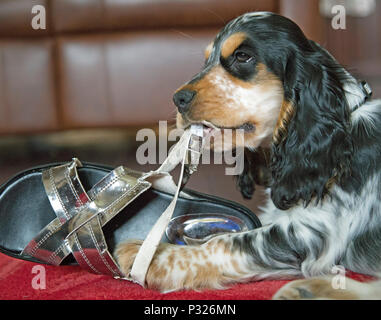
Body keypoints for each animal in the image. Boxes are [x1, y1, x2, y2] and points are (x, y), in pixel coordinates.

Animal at [117, 11, 378, 298]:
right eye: (206, 60)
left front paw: (150, 256)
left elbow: (224, 243)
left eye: (243, 56)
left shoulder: (312, 234)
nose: (178, 99)